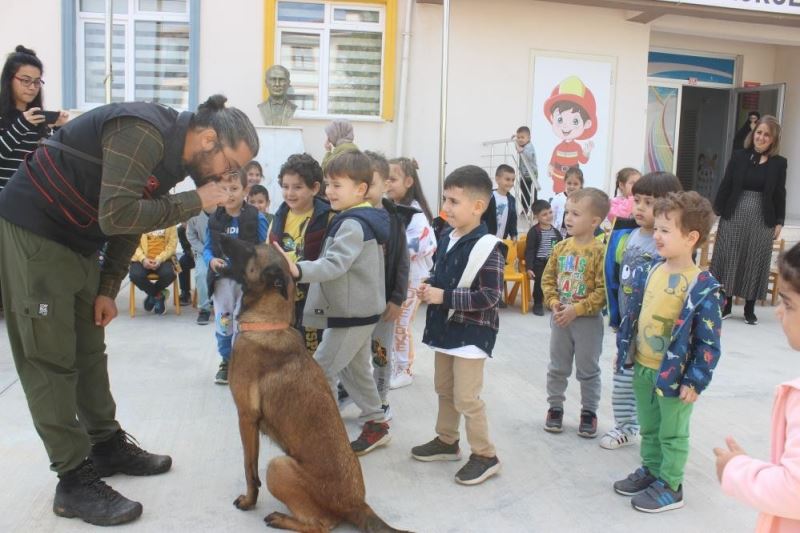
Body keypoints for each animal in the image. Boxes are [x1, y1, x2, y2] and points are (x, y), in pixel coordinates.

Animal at [219, 238, 410, 532]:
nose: (219, 235)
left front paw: (249, 501)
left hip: (278, 465)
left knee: (320, 525)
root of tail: (357, 504)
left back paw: (281, 518)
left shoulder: (246, 418)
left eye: (251, 249)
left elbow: (249, 470)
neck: (267, 323)